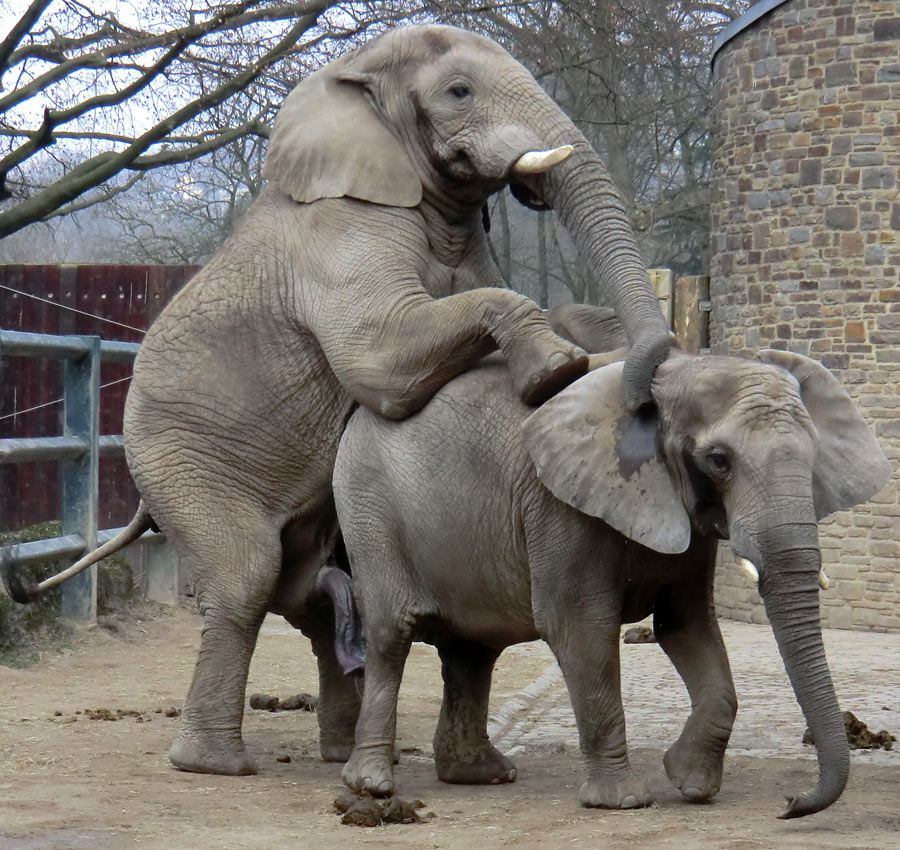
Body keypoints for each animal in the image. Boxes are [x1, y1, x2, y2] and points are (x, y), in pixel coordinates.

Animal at [1, 23, 668, 776]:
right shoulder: (340, 236)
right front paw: (554, 370)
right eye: (458, 91)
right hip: (176, 458)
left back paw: (338, 750)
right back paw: (217, 764)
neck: (352, 78)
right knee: (244, 575)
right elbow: (379, 354)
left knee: (302, 590)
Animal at [334, 344, 888, 816]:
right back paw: (373, 785)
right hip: (368, 512)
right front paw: (624, 802)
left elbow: (686, 626)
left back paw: (480, 775)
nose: (790, 803)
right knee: (390, 636)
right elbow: (581, 629)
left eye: (813, 456)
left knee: (472, 651)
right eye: (719, 460)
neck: (673, 375)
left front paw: (691, 784)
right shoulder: (560, 505)